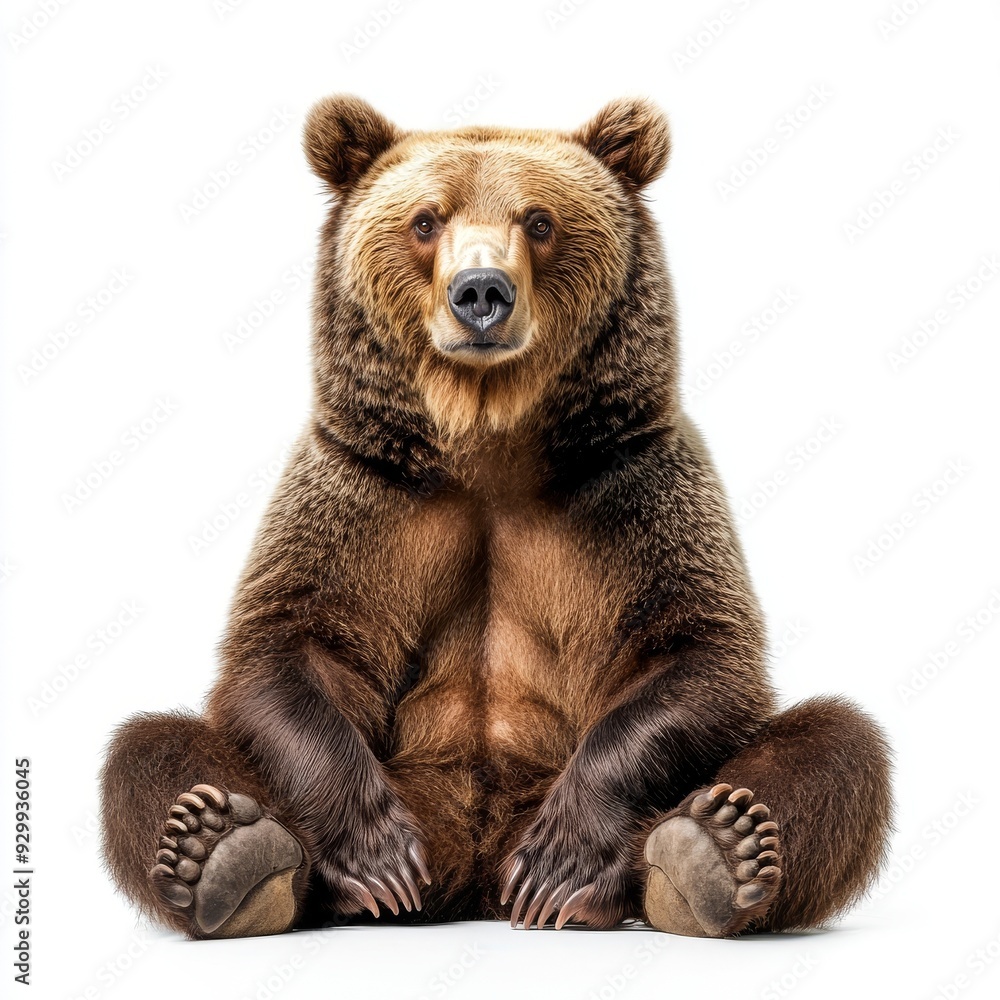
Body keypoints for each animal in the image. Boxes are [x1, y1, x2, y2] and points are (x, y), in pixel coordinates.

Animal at [99, 95, 893, 940]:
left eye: (539, 220)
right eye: (425, 220)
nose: (481, 291)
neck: (487, 439)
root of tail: (476, 864)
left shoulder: (633, 485)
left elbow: (695, 649)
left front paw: (563, 862)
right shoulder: (359, 493)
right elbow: (290, 644)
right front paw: (374, 857)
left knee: (834, 744)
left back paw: (707, 853)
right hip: (412, 782)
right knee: (151, 747)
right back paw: (227, 851)